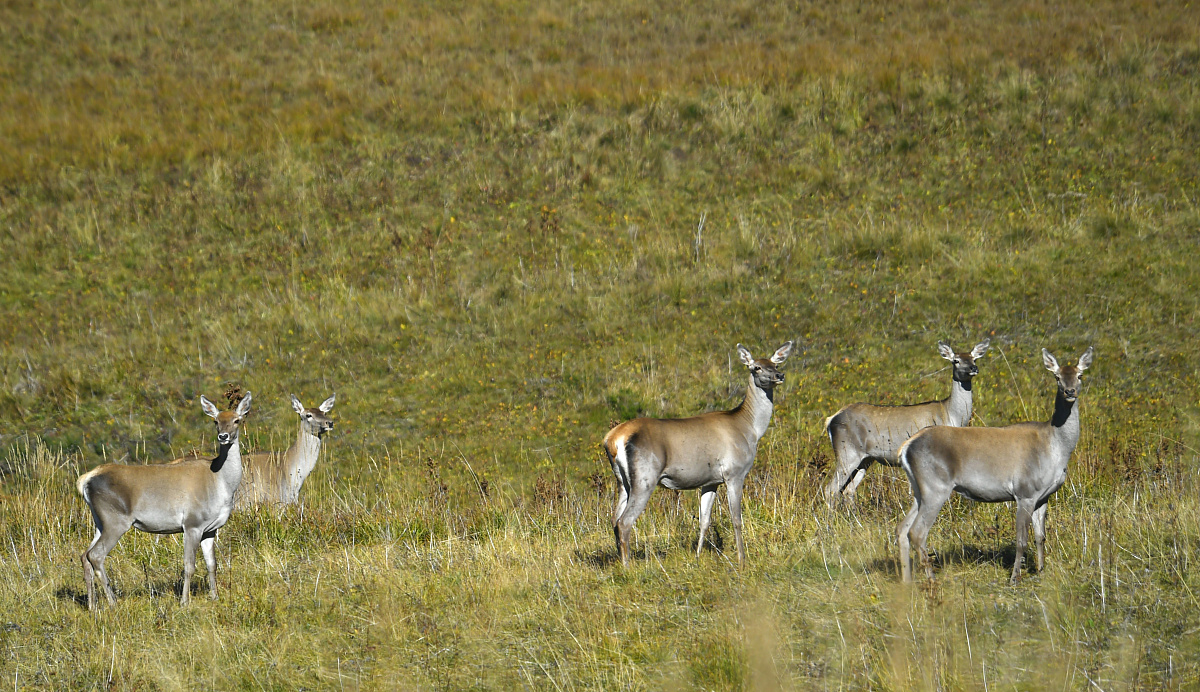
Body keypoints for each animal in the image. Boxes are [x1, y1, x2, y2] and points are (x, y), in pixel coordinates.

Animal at [75, 390, 253, 606]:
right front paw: (184, 602)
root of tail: (86, 479)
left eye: (237, 420)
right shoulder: (192, 523)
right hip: (115, 519)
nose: (223, 436)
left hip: (100, 521)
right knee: (96, 555)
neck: (222, 485)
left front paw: (215, 596)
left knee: (85, 555)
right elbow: (189, 565)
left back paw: (92, 605)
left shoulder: (211, 528)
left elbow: (212, 564)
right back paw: (112, 602)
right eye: (216, 421)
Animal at [604, 340, 792, 566]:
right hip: (645, 477)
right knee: (625, 521)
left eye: (776, 364)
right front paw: (742, 560)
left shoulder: (711, 481)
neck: (750, 429)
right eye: (756, 367)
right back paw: (628, 566)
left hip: (622, 480)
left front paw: (697, 557)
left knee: (614, 519)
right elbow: (736, 519)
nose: (779, 375)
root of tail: (613, 439)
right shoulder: (735, 473)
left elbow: (704, 520)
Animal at [820, 340, 988, 508]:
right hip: (847, 450)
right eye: (956, 360)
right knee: (831, 489)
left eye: (974, 359)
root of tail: (831, 419)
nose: (973, 368)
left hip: (865, 459)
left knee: (848, 490)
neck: (951, 415)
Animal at [897, 345, 1094, 582]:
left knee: (902, 529)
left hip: (920, 489)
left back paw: (907, 582)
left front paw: (1041, 571)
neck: (1056, 448)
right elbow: (1021, 541)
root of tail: (906, 446)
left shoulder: (1044, 496)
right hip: (936, 486)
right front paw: (1014, 578)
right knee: (917, 532)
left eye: (1080, 375)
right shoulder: (1025, 491)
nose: (1070, 391)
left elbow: (1040, 537)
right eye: (1057, 377)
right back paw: (931, 581)